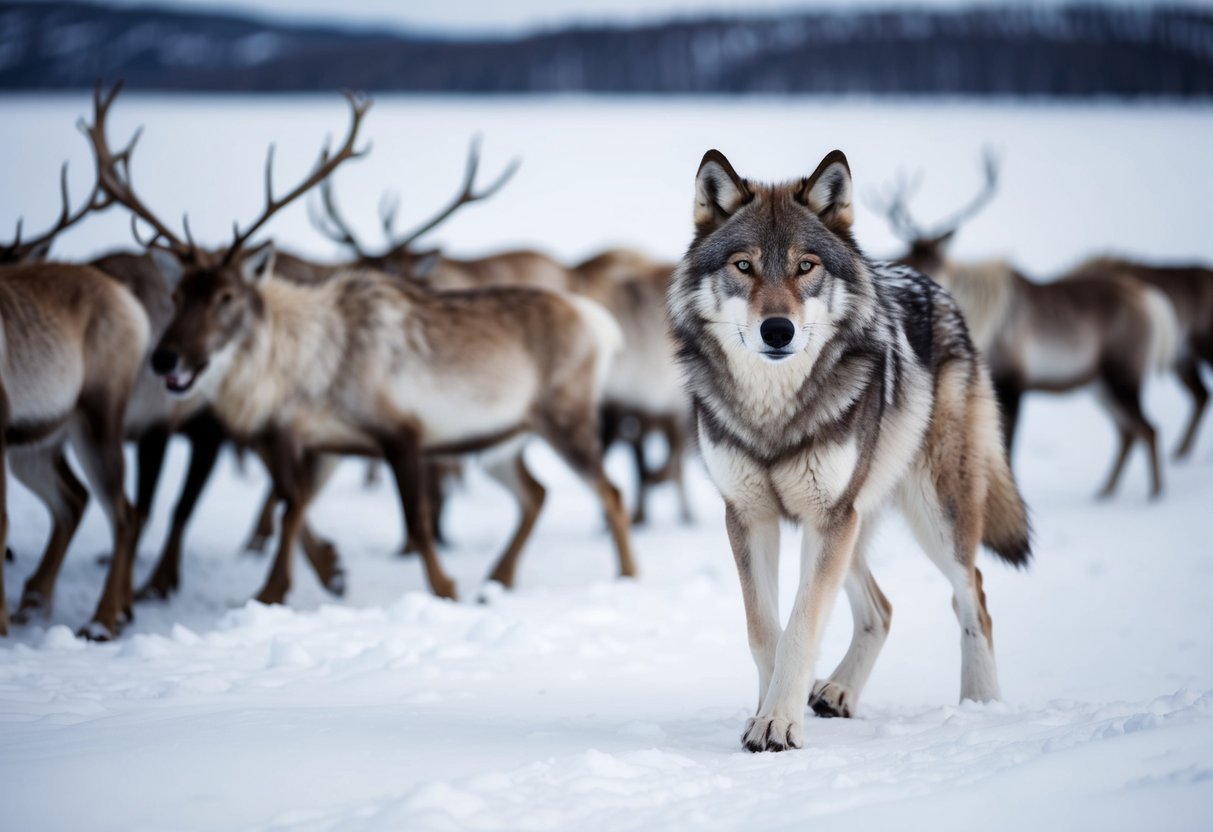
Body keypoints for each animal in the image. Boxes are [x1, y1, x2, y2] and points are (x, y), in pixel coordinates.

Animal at [667, 149, 1031, 752]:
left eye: (805, 266)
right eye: (743, 266)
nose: (777, 330)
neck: (775, 413)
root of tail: (935, 287)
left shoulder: (826, 517)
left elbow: (800, 628)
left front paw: (779, 722)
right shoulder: (750, 516)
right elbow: (765, 631)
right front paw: (763, 716)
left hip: (926, 514)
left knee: (973, 593)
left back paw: (981, 703)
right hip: (854, 521)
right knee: (882, 608)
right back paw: (837, 693)